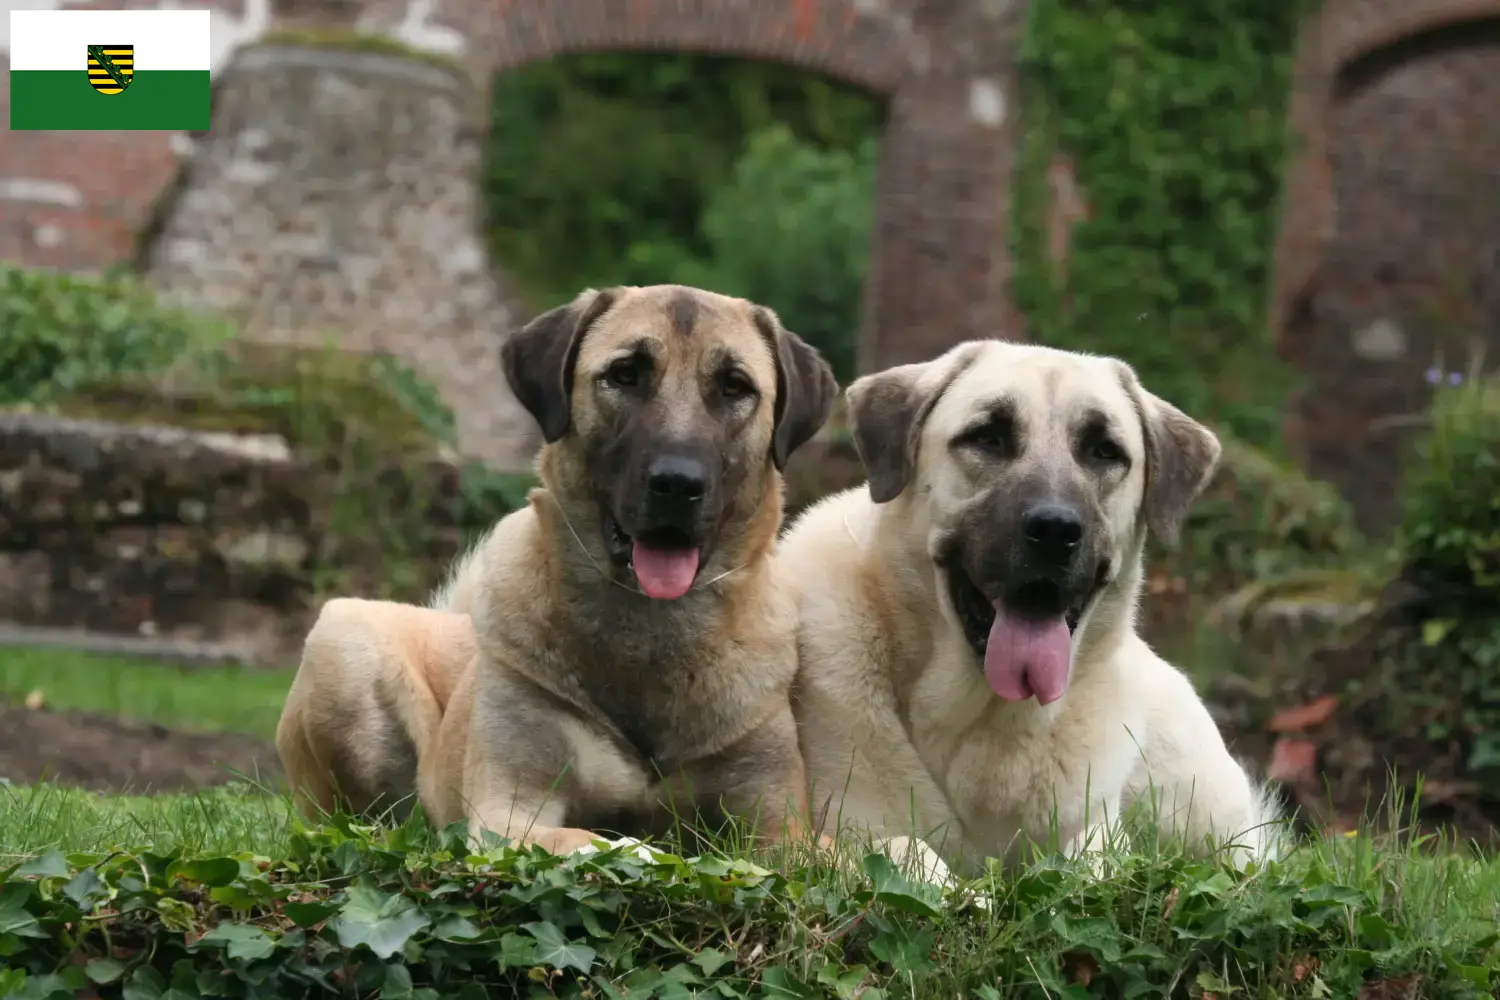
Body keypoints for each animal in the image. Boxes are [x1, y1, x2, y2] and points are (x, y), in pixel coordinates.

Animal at [279, 284, 846, 857]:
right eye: (625, 374)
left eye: (734, 386)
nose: (678, 484)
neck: (651, 631)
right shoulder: (509, 812)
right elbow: (596, 839)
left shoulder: (779, 825)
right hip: (344, 640)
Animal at [786, 340, 1278, 881]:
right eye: (988, 437)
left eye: (1105, 451)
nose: (1056, 530)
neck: (983, 721)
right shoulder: (842, 826)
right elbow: (905, 848)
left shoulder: (1096, 827)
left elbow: (1089, 861)